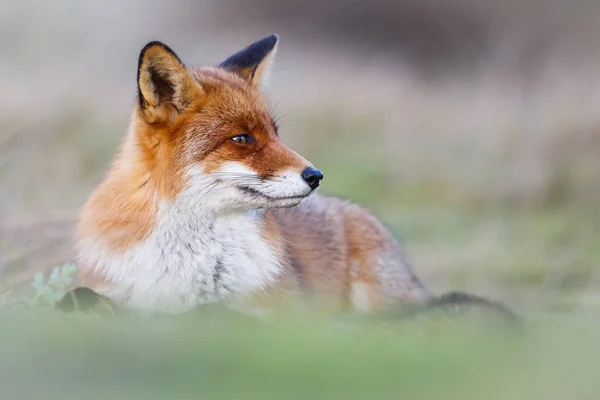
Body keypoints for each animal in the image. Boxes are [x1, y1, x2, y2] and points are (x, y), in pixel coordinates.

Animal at [61, 34, 516, 324]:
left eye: (276, 133)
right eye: (242, 138)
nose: (315, 175)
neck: (192, 261)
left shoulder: (283, 313)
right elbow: (85, 299)